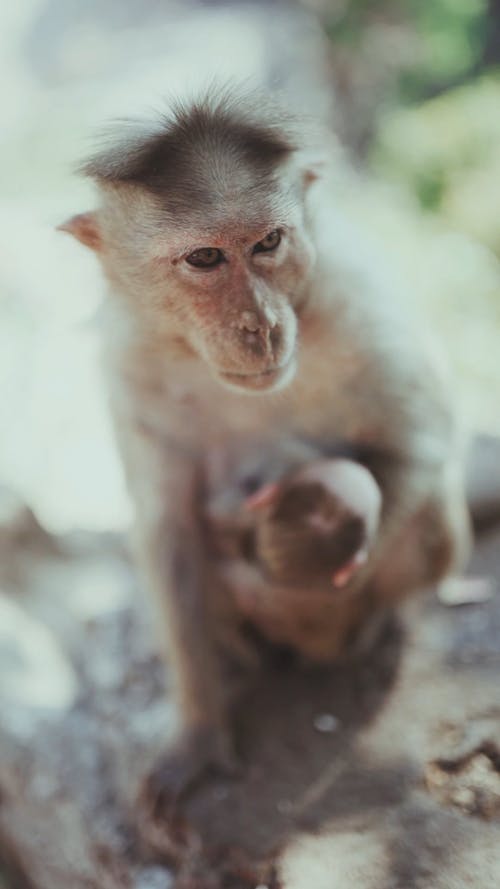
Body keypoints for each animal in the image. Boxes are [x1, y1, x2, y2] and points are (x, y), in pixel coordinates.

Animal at [60, 90, 470, 804]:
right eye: (205, 259)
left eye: (269, 242)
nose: (263, 326)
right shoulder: (128, 363)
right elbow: (169, 533)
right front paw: (198, 733)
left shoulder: (356, 294)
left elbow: (420, 437)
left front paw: (306, 556)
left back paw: (366, 623)